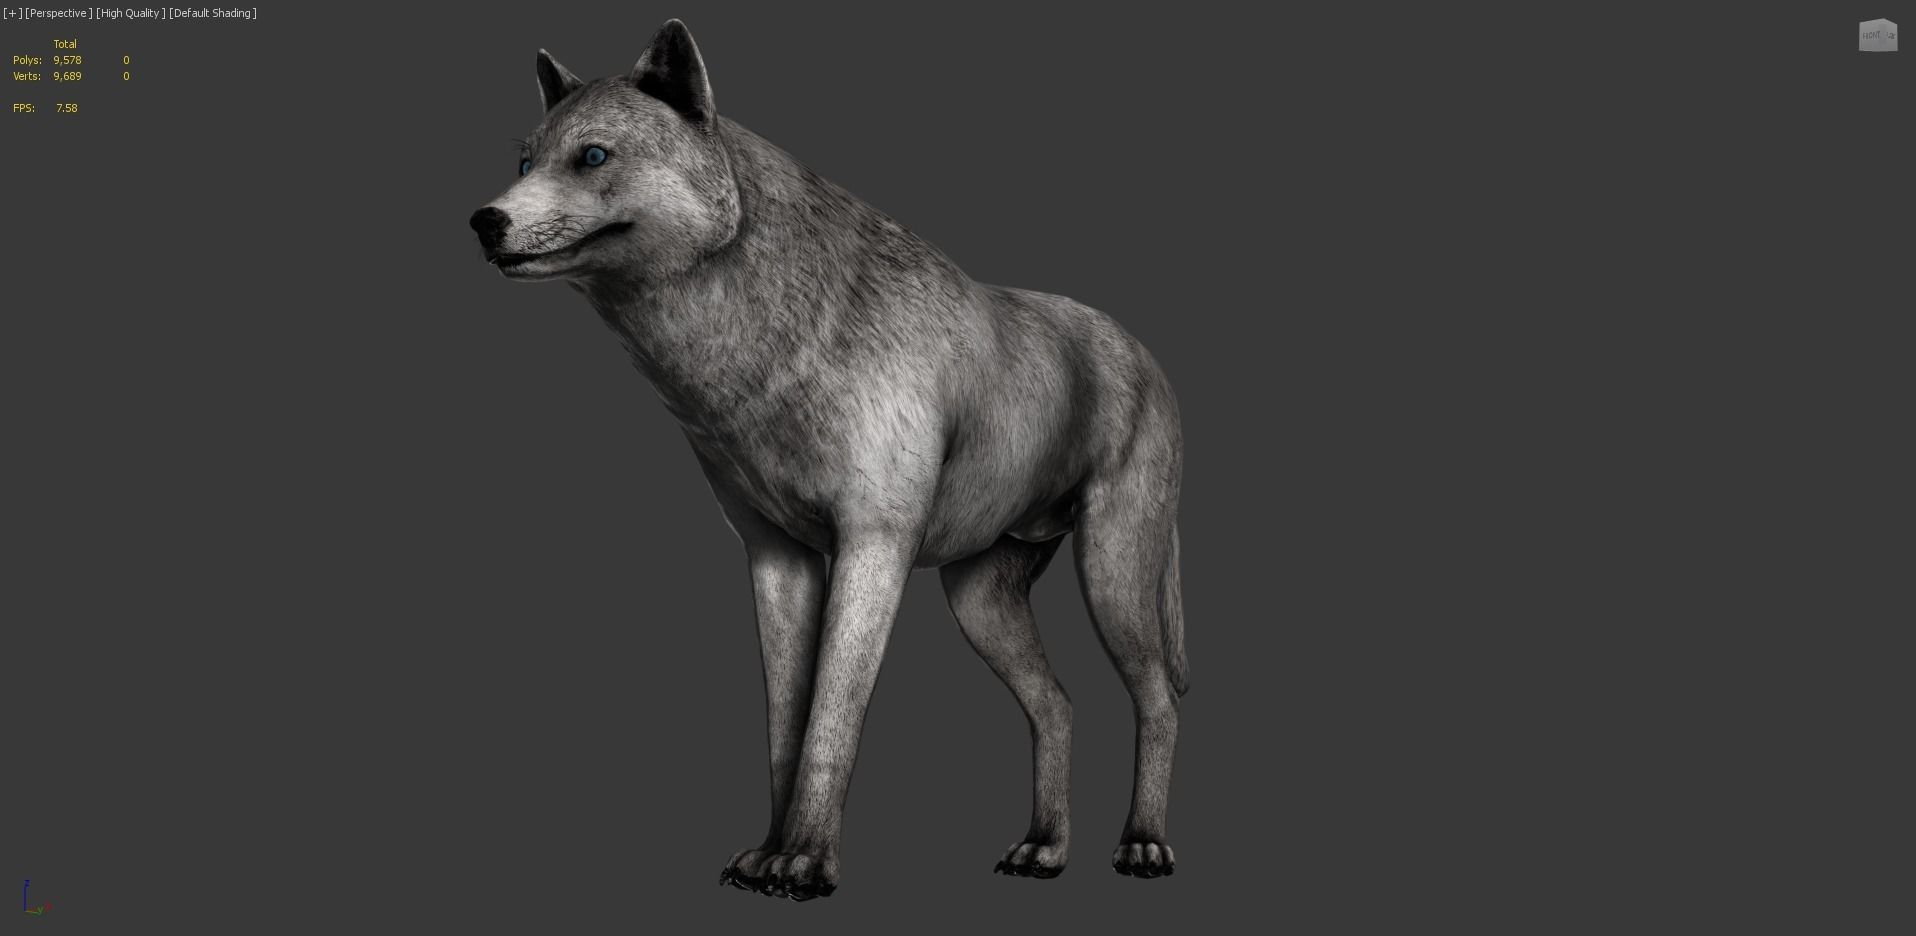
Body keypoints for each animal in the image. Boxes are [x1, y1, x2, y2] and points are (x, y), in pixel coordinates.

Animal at [470, 19, 1186, 900]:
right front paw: (765, 855)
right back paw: (1043, 849)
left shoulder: (872, 547)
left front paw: (805, 862)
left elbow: (830, 721)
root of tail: (1144, 351)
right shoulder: (777, 558)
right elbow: (785, 725)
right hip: (978, 598)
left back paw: (1144, 844)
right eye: (525, 161)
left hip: (1113, 572)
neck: (768, 359)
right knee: (1057, 705)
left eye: (593, 156)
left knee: (1158, 699)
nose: (483, 220)